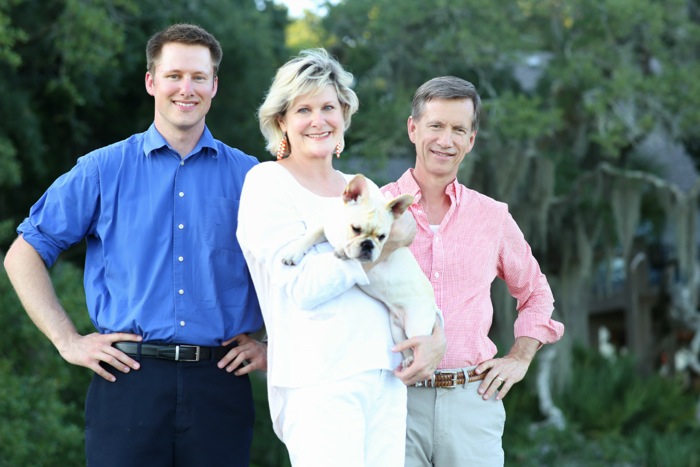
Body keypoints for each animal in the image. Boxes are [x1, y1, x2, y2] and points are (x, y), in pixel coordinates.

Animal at [280, 174, 438, 368]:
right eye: (356, 228)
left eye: (382, 237)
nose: (368, 244)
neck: (340, 231)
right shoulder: (325, 228)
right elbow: (311, 235)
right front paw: (294, 251)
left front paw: (342, 251)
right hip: (396, 330)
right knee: (405, 346)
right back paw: (408, 360)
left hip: (417, 326)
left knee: (417, 345)